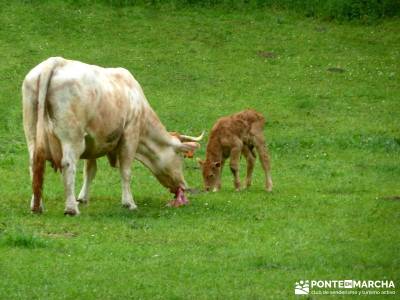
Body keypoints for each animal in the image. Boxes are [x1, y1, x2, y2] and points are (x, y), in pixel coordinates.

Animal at [22, 56, 203, 216]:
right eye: (181, 157)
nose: (184, 186)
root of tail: (55, 62)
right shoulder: (130, 134)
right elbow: (126, 171)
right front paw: (129, 203)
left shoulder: (93, 141)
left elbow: (90, 171)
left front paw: (83, 198)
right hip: (72, 137)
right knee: (68, 164)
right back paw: (71, 208)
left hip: (32, 131)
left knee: (34, 165)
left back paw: (37, 205)